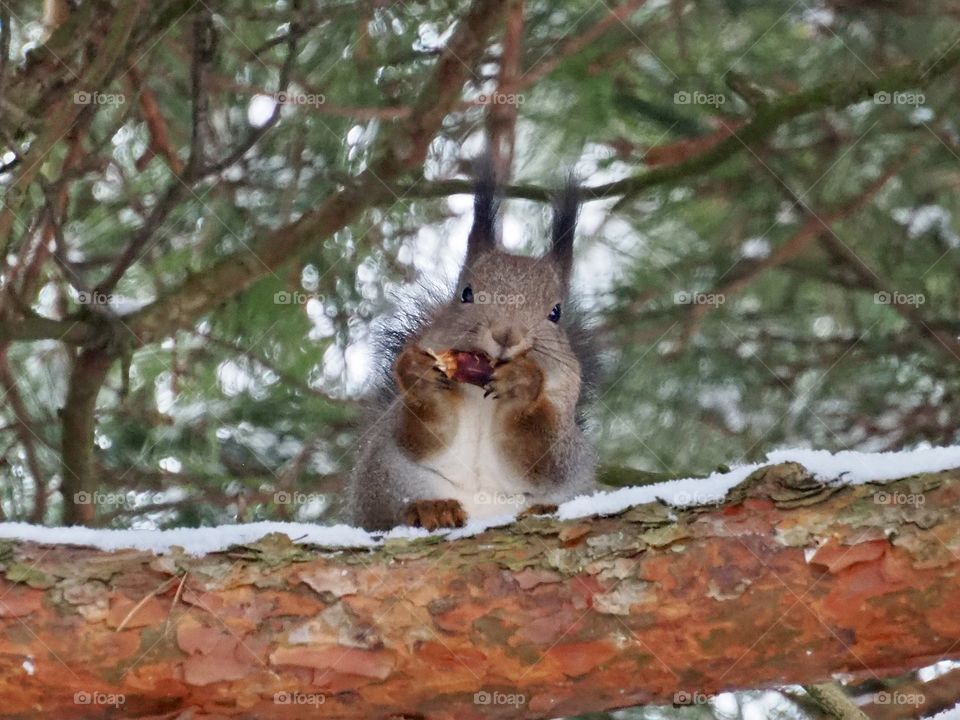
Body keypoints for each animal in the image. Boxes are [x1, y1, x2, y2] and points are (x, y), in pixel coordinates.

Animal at [349, 160, 598, 531]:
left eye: (556, 312)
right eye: (466, 294)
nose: (506, 335)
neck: (482, 395)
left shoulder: (563, 414)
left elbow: (546, 456)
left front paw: (523, 383)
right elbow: (422, 434)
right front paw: (419, 377)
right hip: (386, 475)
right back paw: (431, 508)